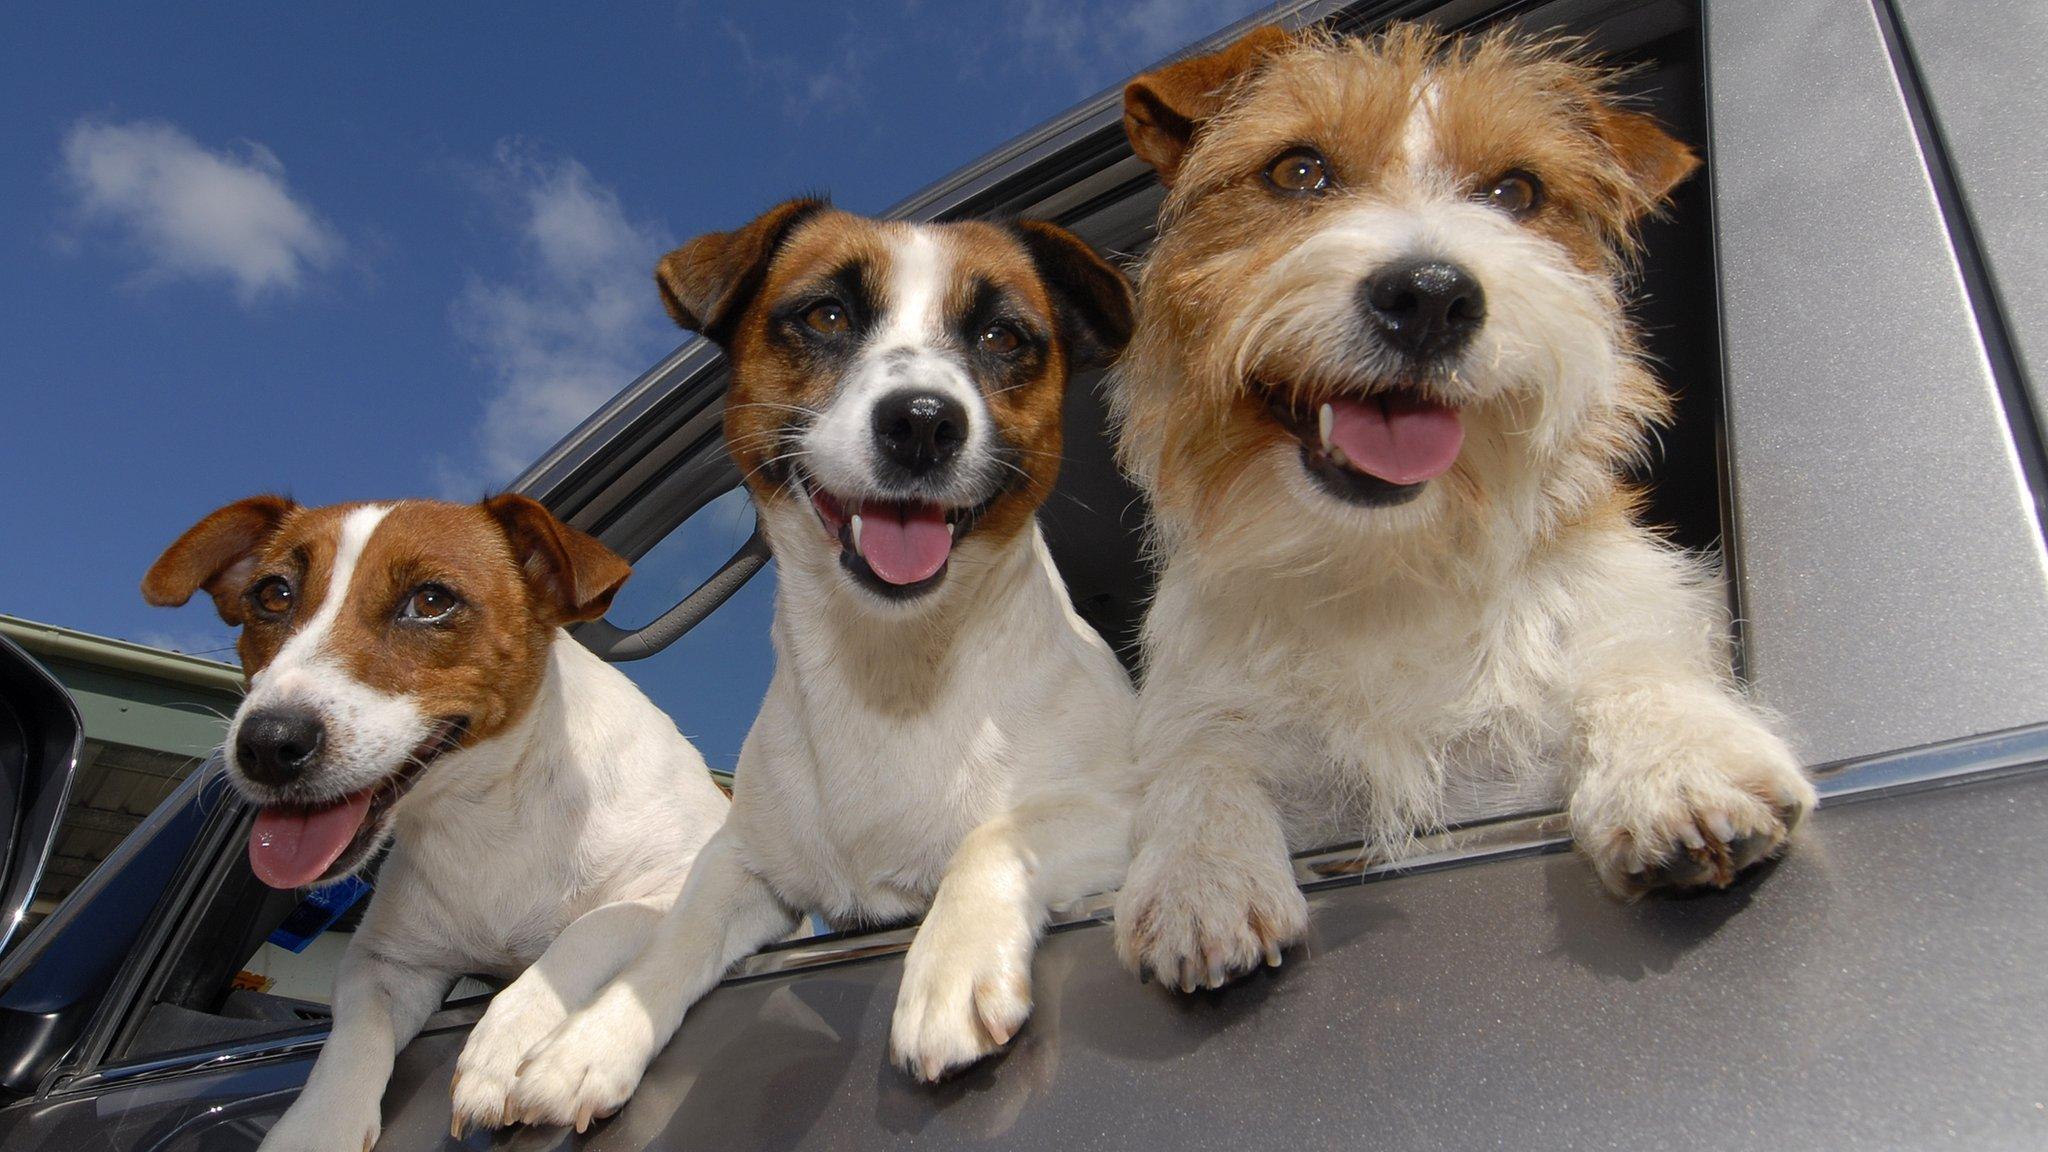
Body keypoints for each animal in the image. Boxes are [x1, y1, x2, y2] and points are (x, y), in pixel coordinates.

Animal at [138, 491, 729, 1139]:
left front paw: (510, 1041)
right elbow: (352, 1041)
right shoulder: (387, 963)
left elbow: (591, 929)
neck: (488, 812)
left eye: (430, 601)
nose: (267, 744)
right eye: (272, 594)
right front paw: (316, 1128)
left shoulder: (681, 875)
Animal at [487, 199, 1146, 1123]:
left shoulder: (1138, 808)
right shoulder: (749, 864)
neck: (891, 672)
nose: (922, 421)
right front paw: (593, 1040)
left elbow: (996, 834)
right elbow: (676, 935)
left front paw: (948, 970)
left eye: (1002, 336)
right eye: (827, 316)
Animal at [1114, 22, 1818, 983]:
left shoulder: (1621, 611)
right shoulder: (1211, 704)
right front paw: (1201, 872)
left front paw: (1678, 763)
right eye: (1298, 171)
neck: (1387, 565)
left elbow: (1631, 658)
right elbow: (1202, 753)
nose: (1430, 296)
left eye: (1516, 191)